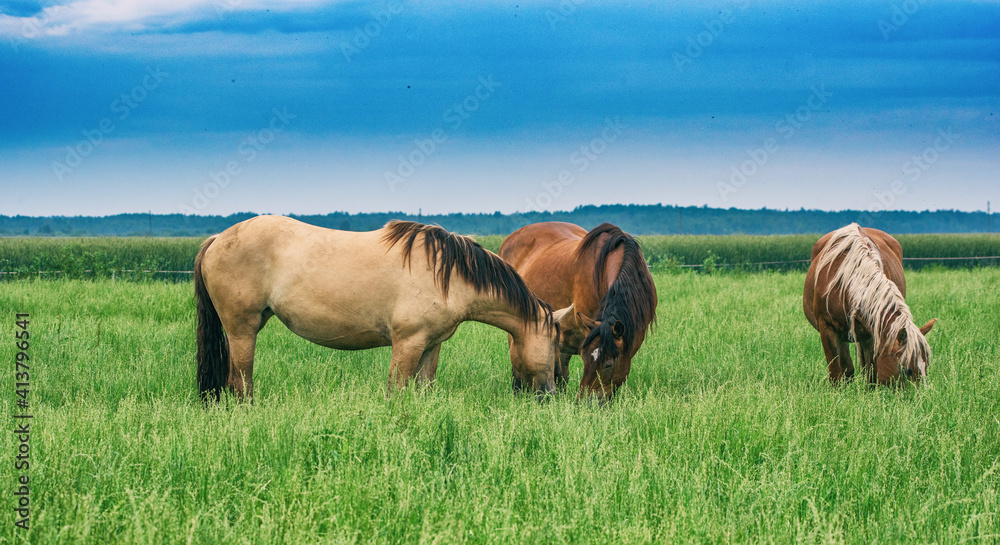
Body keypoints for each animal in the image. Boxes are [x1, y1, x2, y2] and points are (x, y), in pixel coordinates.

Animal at [195, 216, 572, 400]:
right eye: (555, 344)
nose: (551, 396)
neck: (447, 274)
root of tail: (217, 239)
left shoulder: (430, 346)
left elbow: (422, 390)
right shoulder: (407, 342)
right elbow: (397, 390)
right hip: (242, 330)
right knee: (240, 382)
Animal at [800, 223, 932, 384]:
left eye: (926, 367)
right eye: (907, 370)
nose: (923, 393)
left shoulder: (871, 335)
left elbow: (871, 374)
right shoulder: (828, 330)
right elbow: (837, 372)